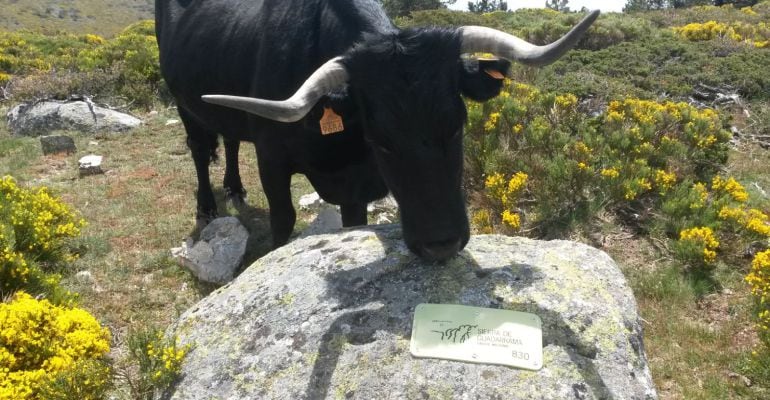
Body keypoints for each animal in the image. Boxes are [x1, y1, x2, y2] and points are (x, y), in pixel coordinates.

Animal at [156, 0, 596, 260]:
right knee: (200, 150)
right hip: (184, 103)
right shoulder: (272, 161)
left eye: (457, 128)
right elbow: (283, 220)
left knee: (229, 139)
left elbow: (352, 223)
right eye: (381, 141)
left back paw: (234, 187)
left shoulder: (356, 187)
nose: (441, 244)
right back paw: (207, 205)